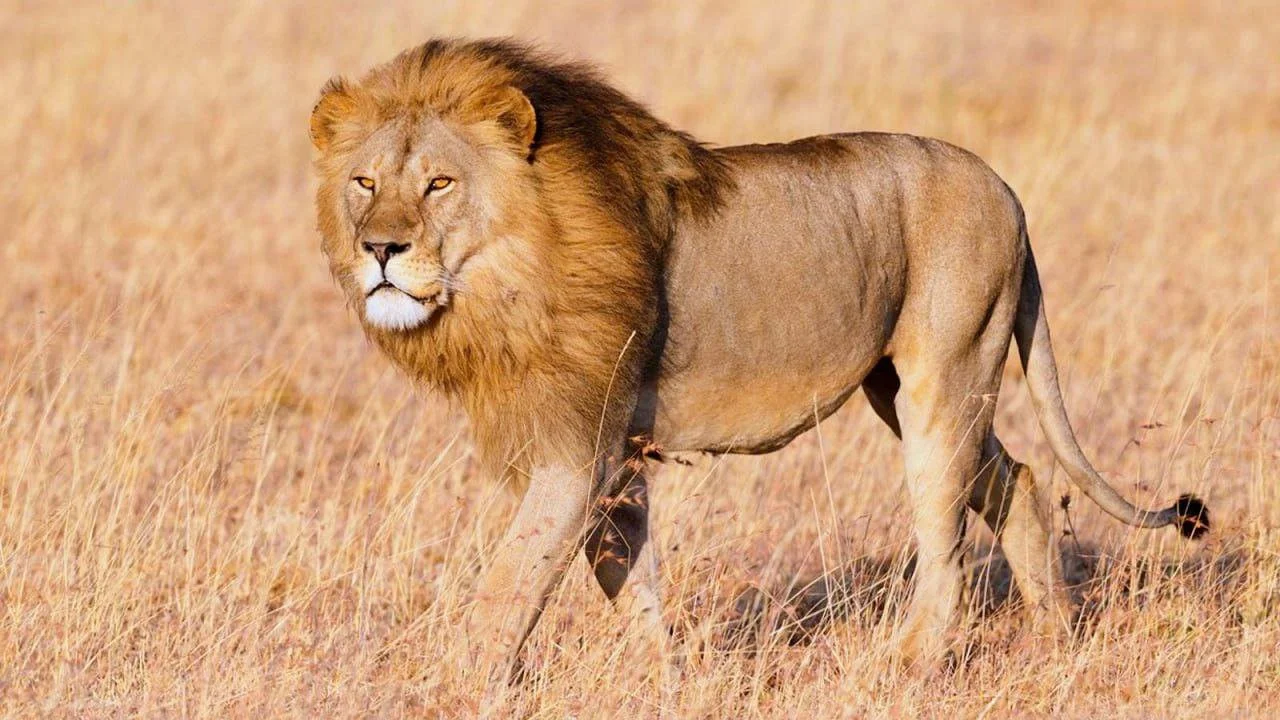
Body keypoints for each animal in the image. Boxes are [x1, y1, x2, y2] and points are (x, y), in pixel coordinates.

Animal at [310, 38, 1209, 681]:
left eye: (439, 185)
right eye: (364, 182)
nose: (379, 249)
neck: (509, 277)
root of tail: (1007, 189)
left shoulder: (579, 444)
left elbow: (506, 588)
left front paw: (453, 685)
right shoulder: (619, 453)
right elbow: (626, 573)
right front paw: (658, 680)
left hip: (945, 375)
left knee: (945, 539)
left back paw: (905, 663)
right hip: (913, 388)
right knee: (1017, 479)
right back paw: (1056, 634)